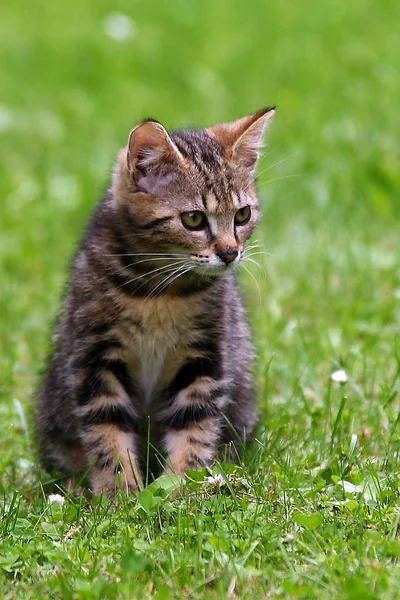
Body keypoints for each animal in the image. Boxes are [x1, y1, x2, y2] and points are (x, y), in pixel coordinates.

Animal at [36, 105, 276, 494]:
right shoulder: (93, 357)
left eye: (242, 215)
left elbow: (194, 427)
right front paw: (119, 495)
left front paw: (180, 489)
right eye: (193, 219)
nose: (229, 253)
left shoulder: (205, 357)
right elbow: (106, 431)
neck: (160, 291)